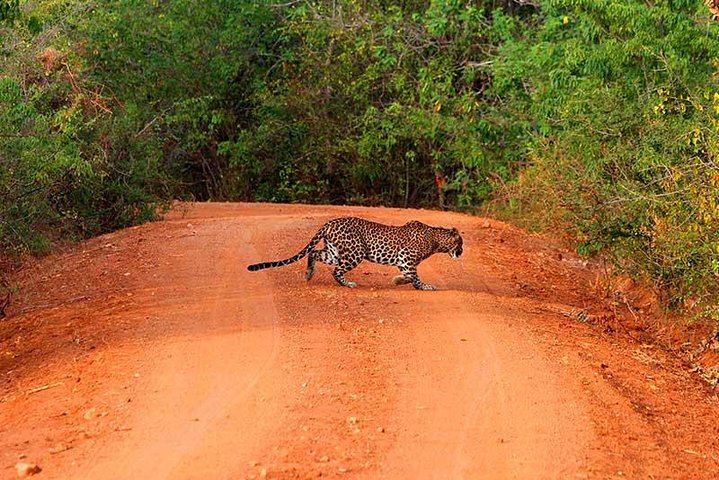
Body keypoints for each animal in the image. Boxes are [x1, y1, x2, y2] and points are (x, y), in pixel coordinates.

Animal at [245, 217, 464, 290]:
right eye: (460, 243)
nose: (462, 252)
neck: (435, 240)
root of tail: (329, 223)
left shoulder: (403, 261)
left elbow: (409, 276)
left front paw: (398, 280)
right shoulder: (407, 259)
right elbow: (414, 277)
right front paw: (424, 286)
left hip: (334, 251)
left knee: (314, 253)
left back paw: (308, 274)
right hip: (355, 253)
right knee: (335, 271)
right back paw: (348, 284)